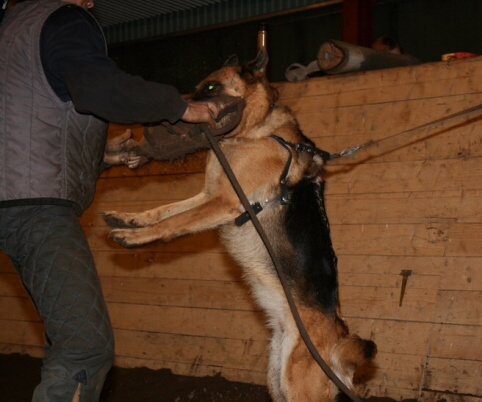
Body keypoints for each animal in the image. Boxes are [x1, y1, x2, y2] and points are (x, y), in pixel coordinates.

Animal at [104, 50, 376, 402]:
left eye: (210, 87)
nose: (169, 119)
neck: (256, 129)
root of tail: (339, 333)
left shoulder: (223, 202)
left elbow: (175, 222)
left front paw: (133, 236)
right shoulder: (208, 196)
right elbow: (165, 211)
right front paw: (129, 219)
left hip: (299, 388)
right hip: (278, 381)